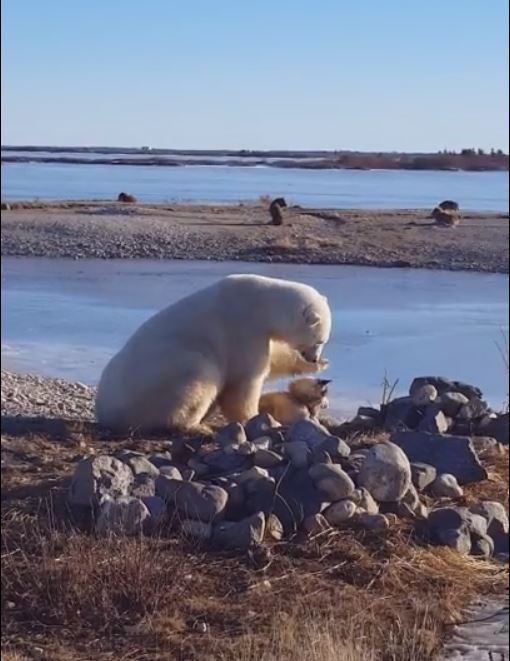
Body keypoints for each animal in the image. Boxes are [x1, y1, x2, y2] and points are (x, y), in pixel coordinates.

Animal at [95, 274, 330, 434]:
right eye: (319, 340)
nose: (314, 357)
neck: (262, 302)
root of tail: (105, 412)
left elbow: (274, 359)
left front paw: (318, 365)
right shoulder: (243, 325)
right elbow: (245, 378)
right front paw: (254, 417)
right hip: (160, 377)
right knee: (199, 374)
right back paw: (195, 426)